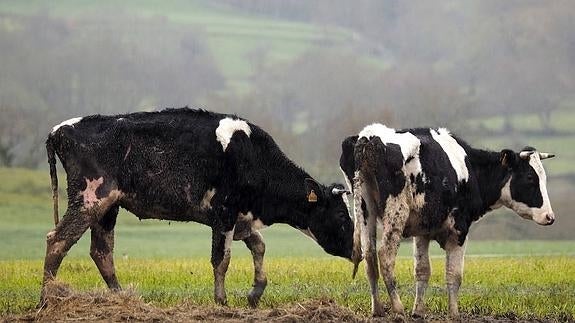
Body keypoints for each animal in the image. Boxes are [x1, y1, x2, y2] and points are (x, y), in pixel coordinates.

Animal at [41, 107, 356, 308]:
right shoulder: (224, 213)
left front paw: (255, 292)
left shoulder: (241, 219)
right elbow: (222, 258)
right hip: (89, 200)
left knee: (101, 252)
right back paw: (47, 299)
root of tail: (60, 130)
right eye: (342, 215)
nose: (358, 250)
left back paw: (121, 298)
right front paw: (221, 301)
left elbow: (259, 246)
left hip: (108, 207)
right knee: (58, 240)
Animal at [340, 124, 556, 318]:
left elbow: (422, 271)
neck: (470, 169)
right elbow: (454, 274)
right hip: (395, 213)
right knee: (385, 255)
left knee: (369, 256)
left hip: (365, 210)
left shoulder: (423, 231)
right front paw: (454, 313)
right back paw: (398, 308)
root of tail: (368, 136)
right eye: (530, 177)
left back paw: (377, 309)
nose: (550, 217)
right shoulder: (459, 231)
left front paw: (418, 312)